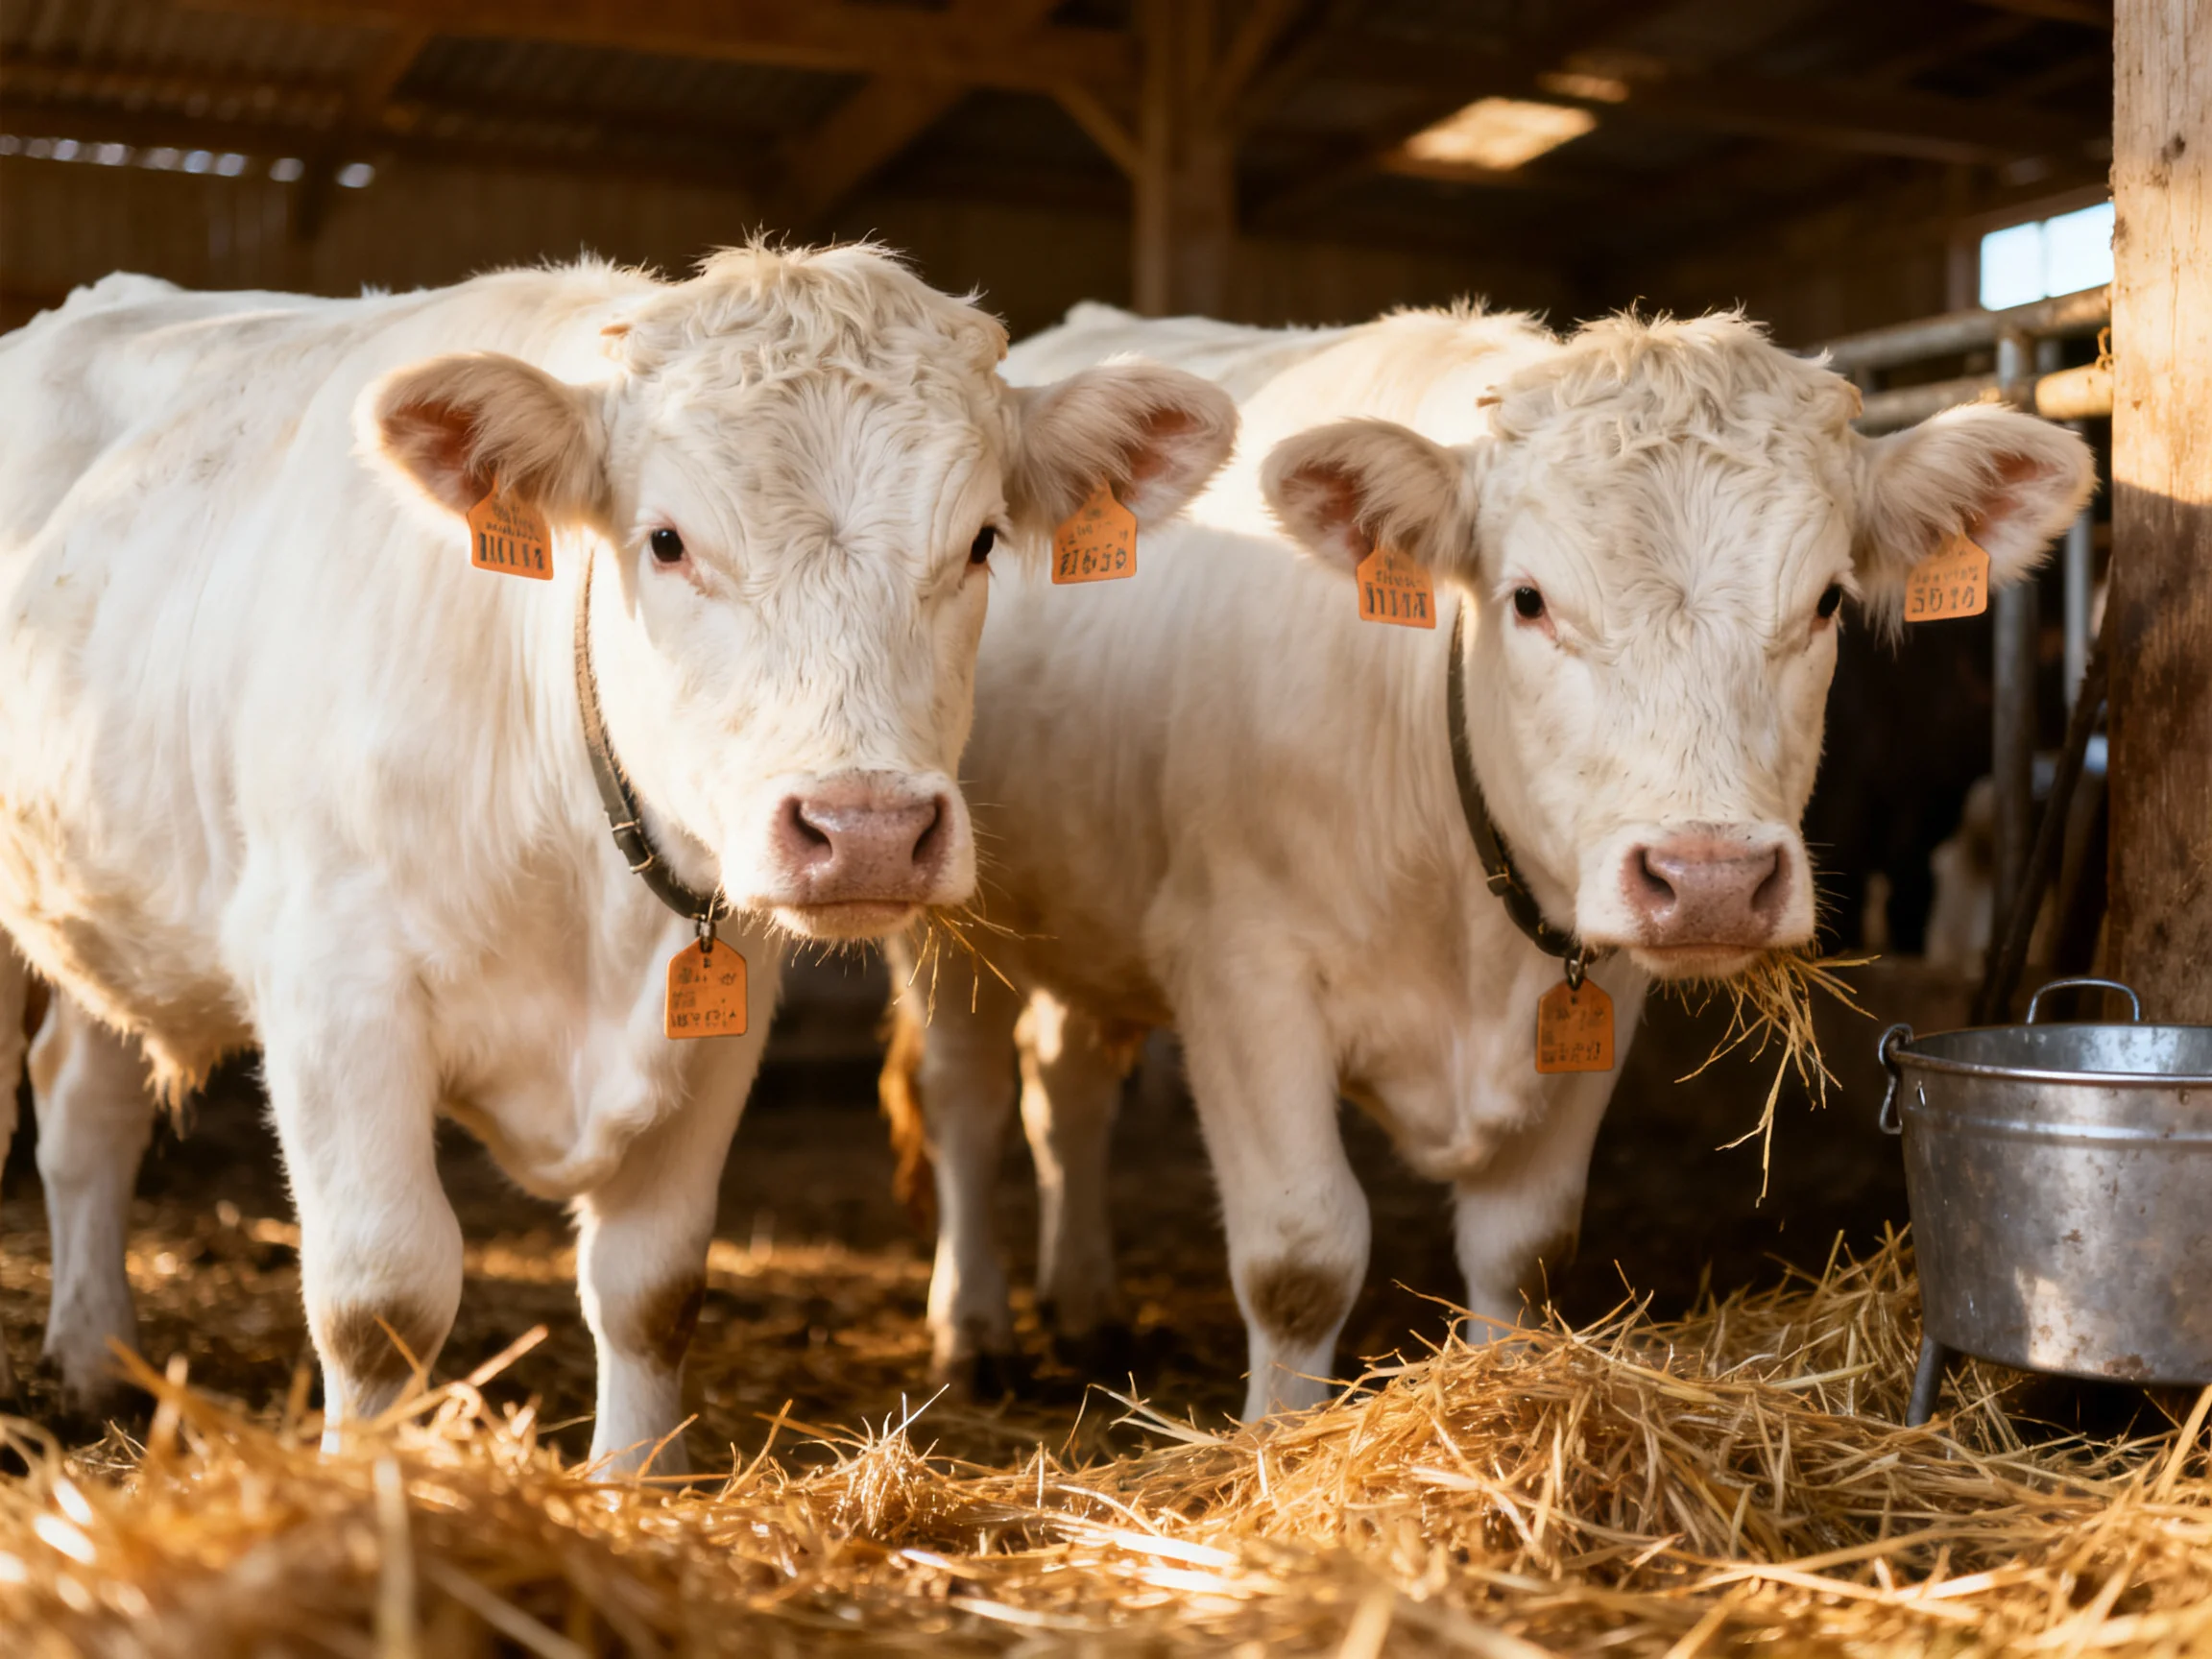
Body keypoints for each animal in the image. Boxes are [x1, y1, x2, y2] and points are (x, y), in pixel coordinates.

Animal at [0, 249, 1236, 1466]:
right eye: (668, 540)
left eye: (981, 540)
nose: (868, 829)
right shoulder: (331, 984)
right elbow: (381, 1294)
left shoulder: (724, 1001)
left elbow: (652, 1285)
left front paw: (634, 1477)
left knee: (84, 1106)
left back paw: (95, 1357)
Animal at [880, 299, 2095, 1422]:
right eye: (1530, 600)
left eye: (1828, 600)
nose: (1710, 880)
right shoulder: (1240, 972)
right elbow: (1299, 1258)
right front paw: (1276, 1442)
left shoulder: (1598, 993)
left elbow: (1526, 1248)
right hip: (949, 910)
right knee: (967, 1098)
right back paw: (974, 1331)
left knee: (1065, 1089)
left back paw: (1085, 1304)